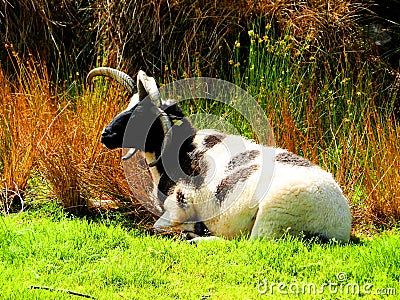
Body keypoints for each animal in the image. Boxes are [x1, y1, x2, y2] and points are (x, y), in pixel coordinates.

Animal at [86, 67, 350, 243]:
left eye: (140, 116)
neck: (180, 152)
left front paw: (190, 231)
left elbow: (158, 227)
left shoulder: (178, 207)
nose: (105, 134)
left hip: (271, 221)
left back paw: (198, 238)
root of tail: (337, 223)